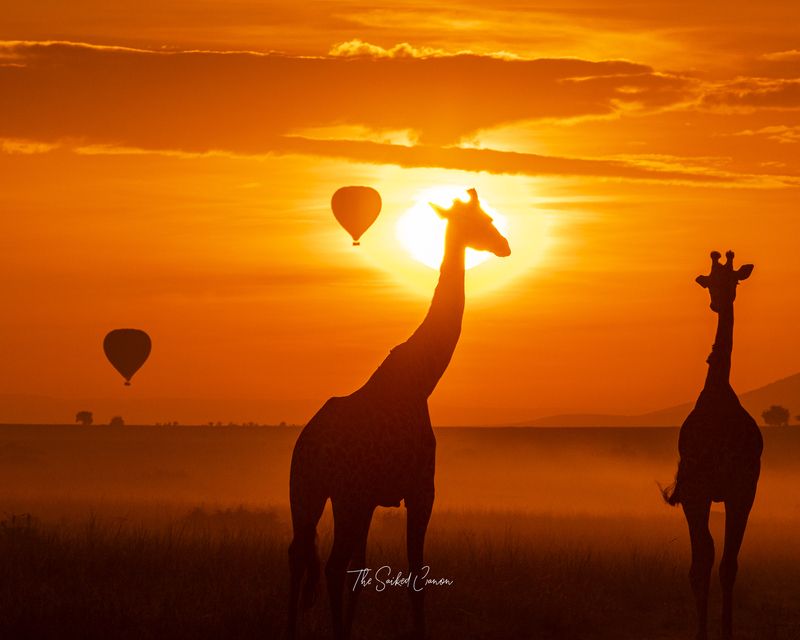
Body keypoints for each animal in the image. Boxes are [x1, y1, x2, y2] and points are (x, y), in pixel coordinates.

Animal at [287, 188, 510, 640]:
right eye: (483, 222)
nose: (504, 246)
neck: (422, 381)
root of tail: (308, 446)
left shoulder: (375, 498)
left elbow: (362, 573)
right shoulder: (421, 490)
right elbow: (415, 576)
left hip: (308, 493)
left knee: (300, 556)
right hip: (344, 495)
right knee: (330, 566)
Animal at [663, 250, 762, 640]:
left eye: (732, 280)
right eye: (709, 281)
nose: (717, 303)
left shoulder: (741, 492)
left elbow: (729, 565)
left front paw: (727, 631)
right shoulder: (698, 491)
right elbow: (702, 563)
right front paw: (703, 632)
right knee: (701, 559)